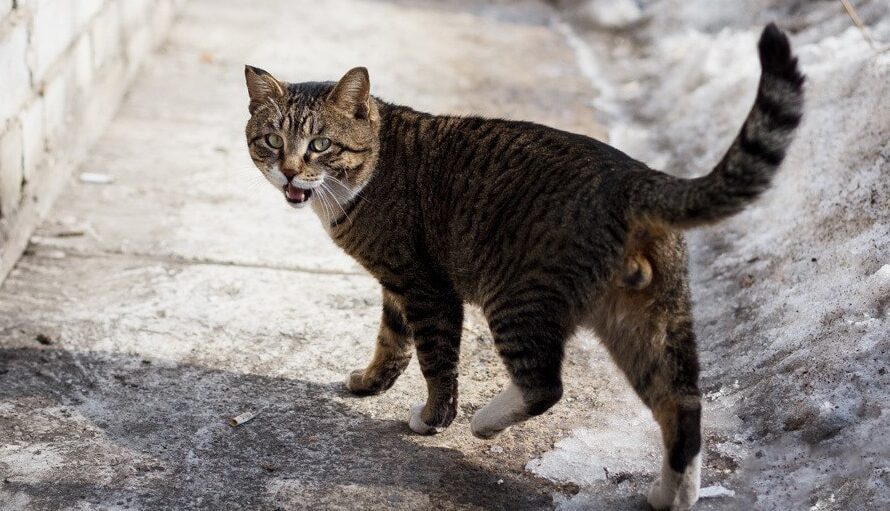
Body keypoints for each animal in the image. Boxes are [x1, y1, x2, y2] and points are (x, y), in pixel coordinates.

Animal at [243, 25, 804, 511]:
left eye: (320, 145)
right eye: (272, 141)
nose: (289, 171)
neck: (371, 169)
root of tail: (634, 178)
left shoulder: (425, 286)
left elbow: (434, 360)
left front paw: (432, 419)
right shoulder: (398, 285)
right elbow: (391, 341)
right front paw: (369, 383)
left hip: (518, 296)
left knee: (544, 383)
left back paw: (485, 423)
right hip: (649, 322)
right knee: (681, 403)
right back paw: (672, 494)